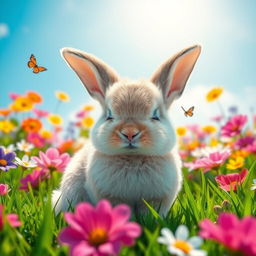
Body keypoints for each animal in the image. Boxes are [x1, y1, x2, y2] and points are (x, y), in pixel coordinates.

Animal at [52, 44, 201, 216]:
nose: (130, 133)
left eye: (155, 115)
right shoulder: (113, 197)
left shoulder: (156, 199)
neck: (133, 158)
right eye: (109, 115)